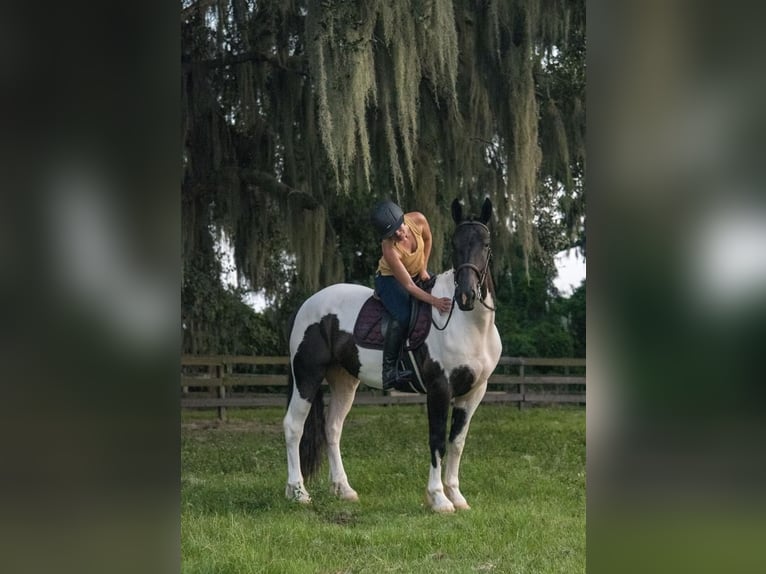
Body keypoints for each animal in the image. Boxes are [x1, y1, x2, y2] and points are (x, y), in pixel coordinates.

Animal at [284, 198, 504, 512]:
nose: (466, 296)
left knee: (332, 428)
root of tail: (306, 305)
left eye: (486, 244)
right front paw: (439, 499)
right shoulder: (439, 389)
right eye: (455, 244)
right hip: (307, 376)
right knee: (294, 426)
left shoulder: (474, 392)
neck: (470, 326)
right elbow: (437, 440)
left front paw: (457, 496)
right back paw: (298, 492)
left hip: (344, 380)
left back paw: (344, 489)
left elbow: (457, 442)